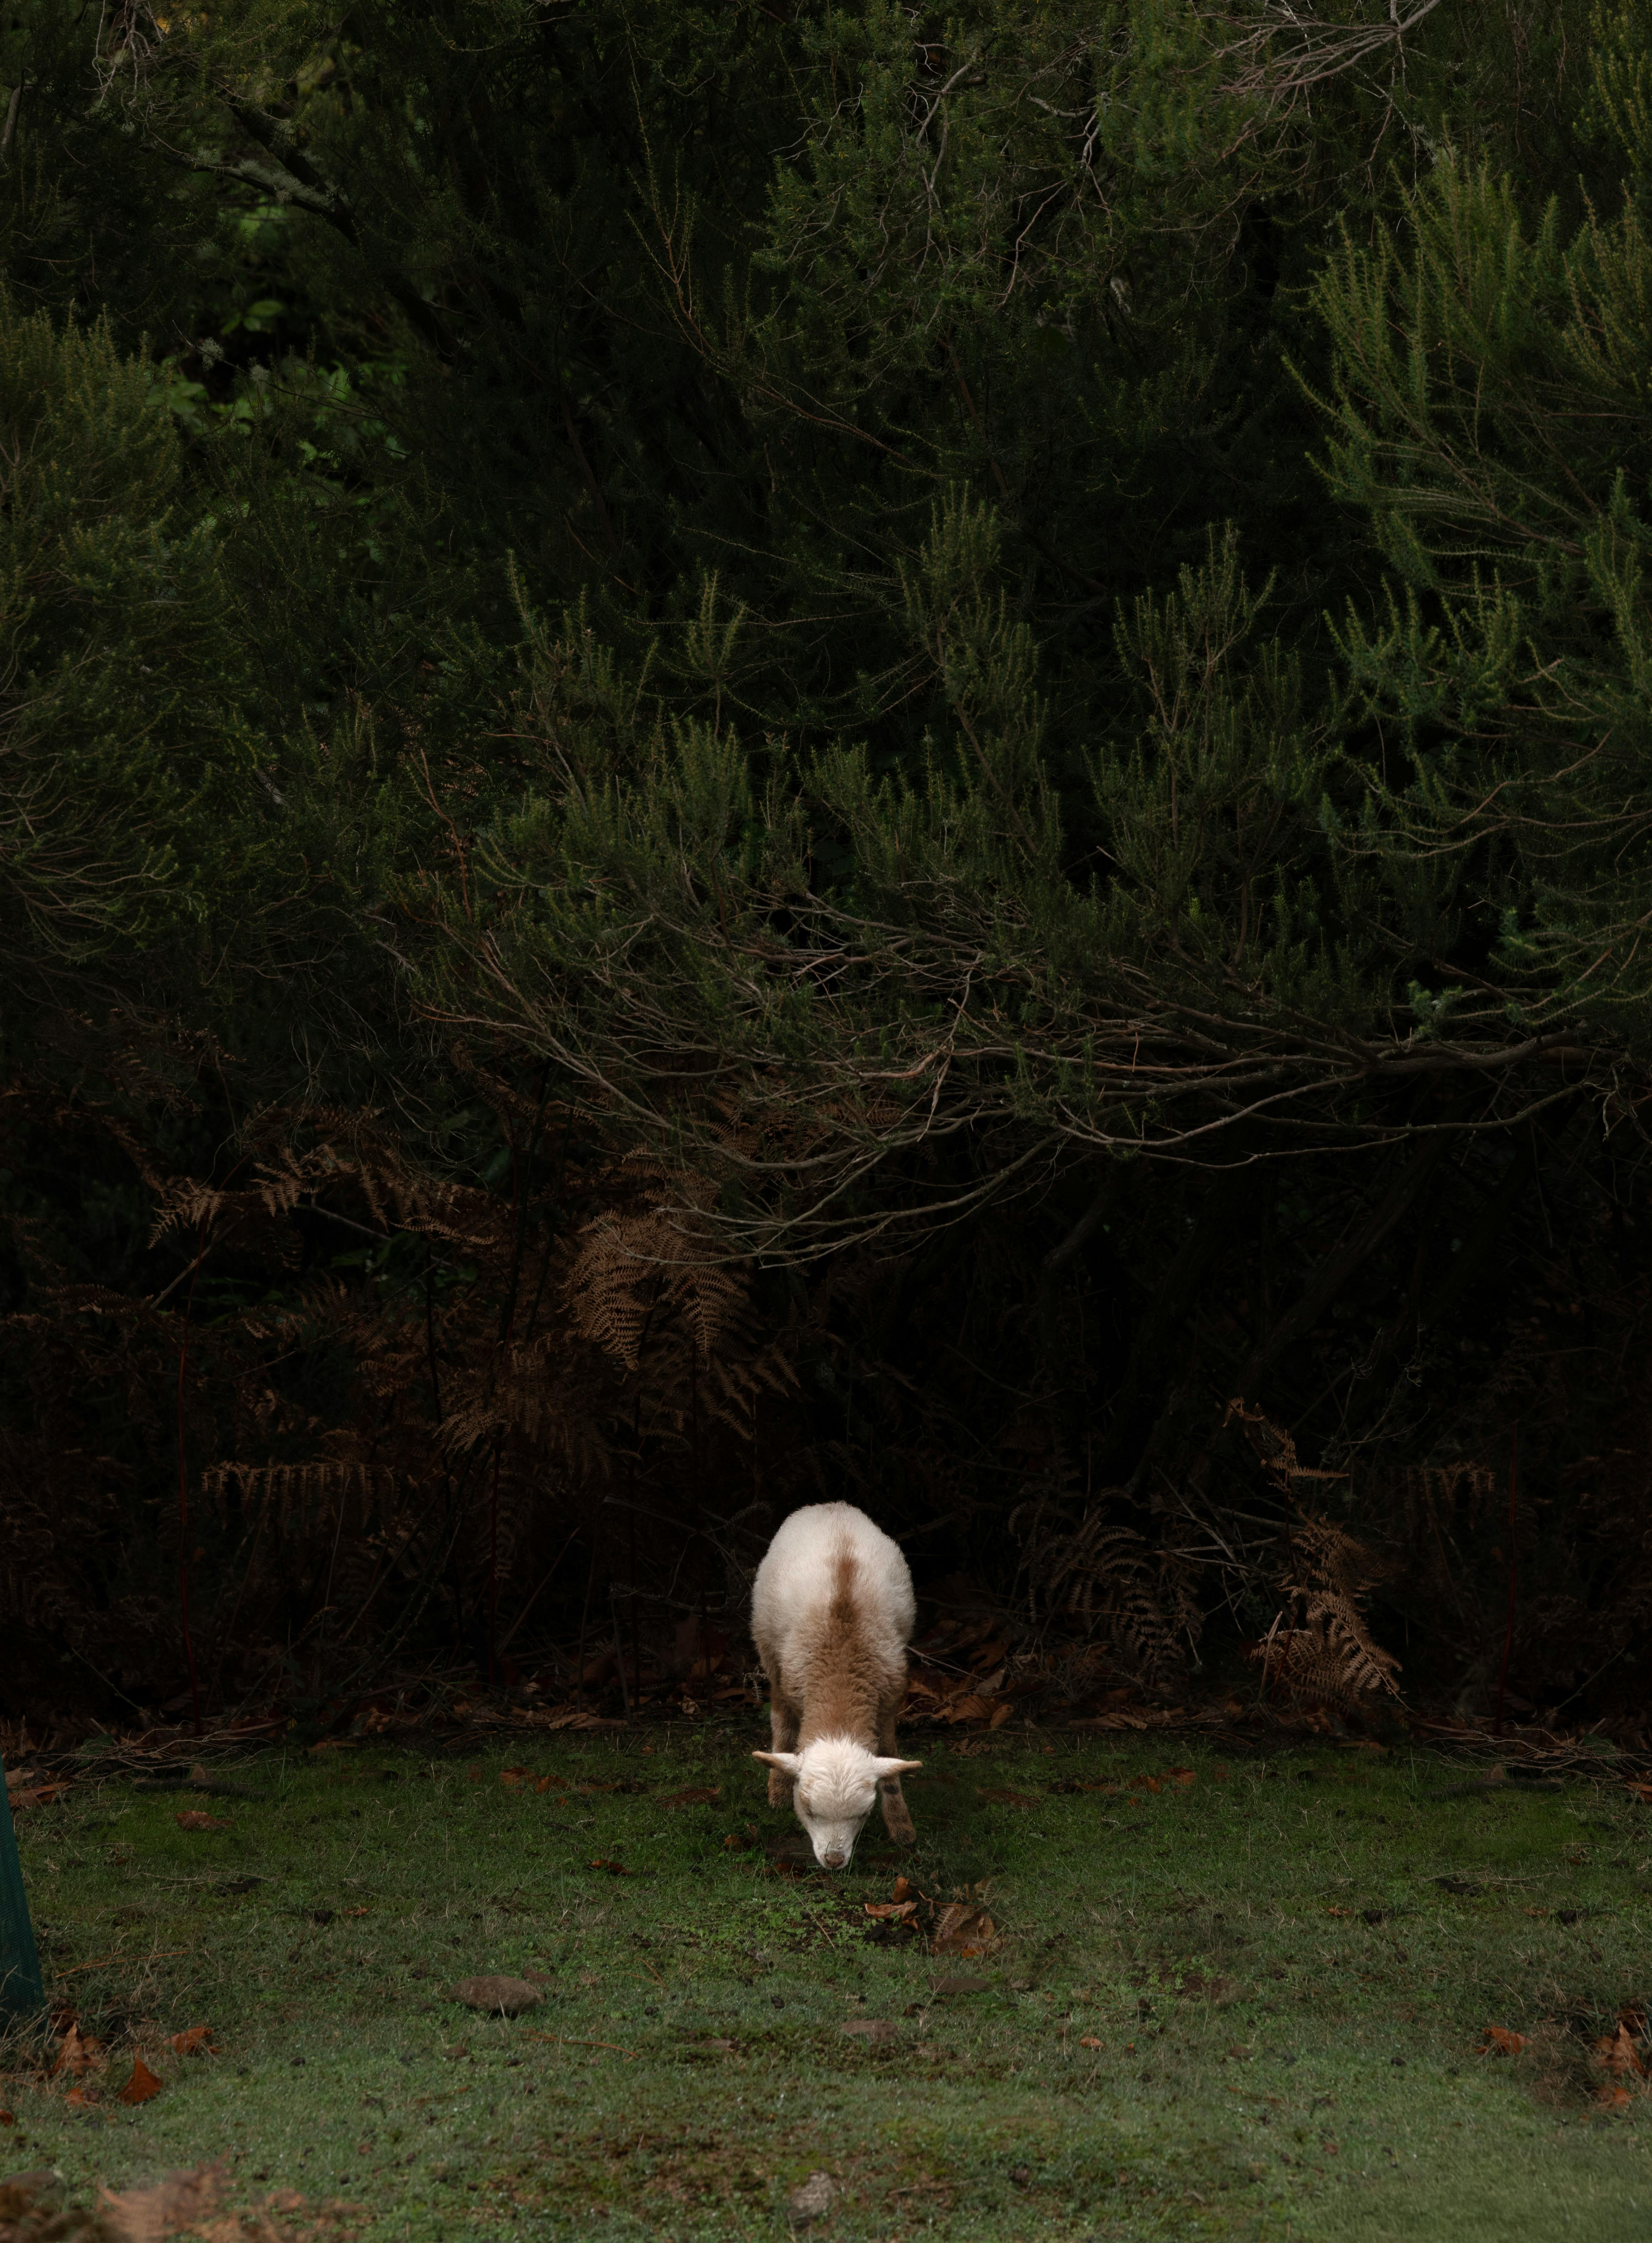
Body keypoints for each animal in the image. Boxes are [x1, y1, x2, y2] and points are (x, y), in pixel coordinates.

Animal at [750, 1501, 921, 1869]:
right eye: (808, 1809)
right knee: (780, 1716)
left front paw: (901, 1825)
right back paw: (777, 1783)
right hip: (767, 1645)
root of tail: (830, 1507)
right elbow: (785, 1723)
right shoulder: (792, 1679)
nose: (834, 1860)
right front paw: (781, 1786)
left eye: (864, 1814)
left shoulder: (890, 1698)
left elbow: (889, 1758)